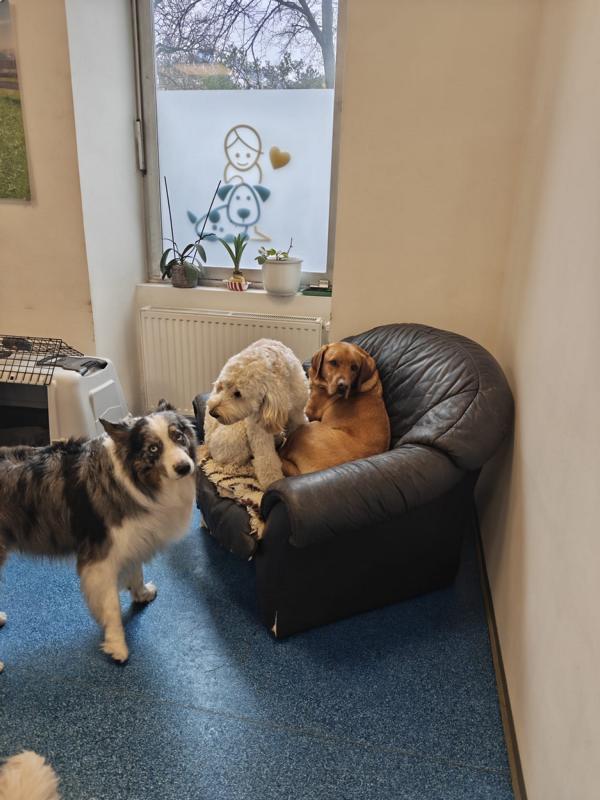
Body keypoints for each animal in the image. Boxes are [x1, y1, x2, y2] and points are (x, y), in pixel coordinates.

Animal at [0, 400, 196, 670]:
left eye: (178, 436)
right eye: (154, 448)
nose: (184, 467)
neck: (132, 480)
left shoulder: (131, 541)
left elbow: (136, 572)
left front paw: (142, 594)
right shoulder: (100, 559)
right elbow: (111, 605)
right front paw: (117, 645)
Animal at [204, 339, 308, 488]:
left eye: (238, 393)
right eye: (221, 387)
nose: (212, 412)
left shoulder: (297, 412)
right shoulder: (257, 427)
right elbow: (266, 458)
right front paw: (272, 480)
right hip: (234, 434)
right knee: (229, 462)